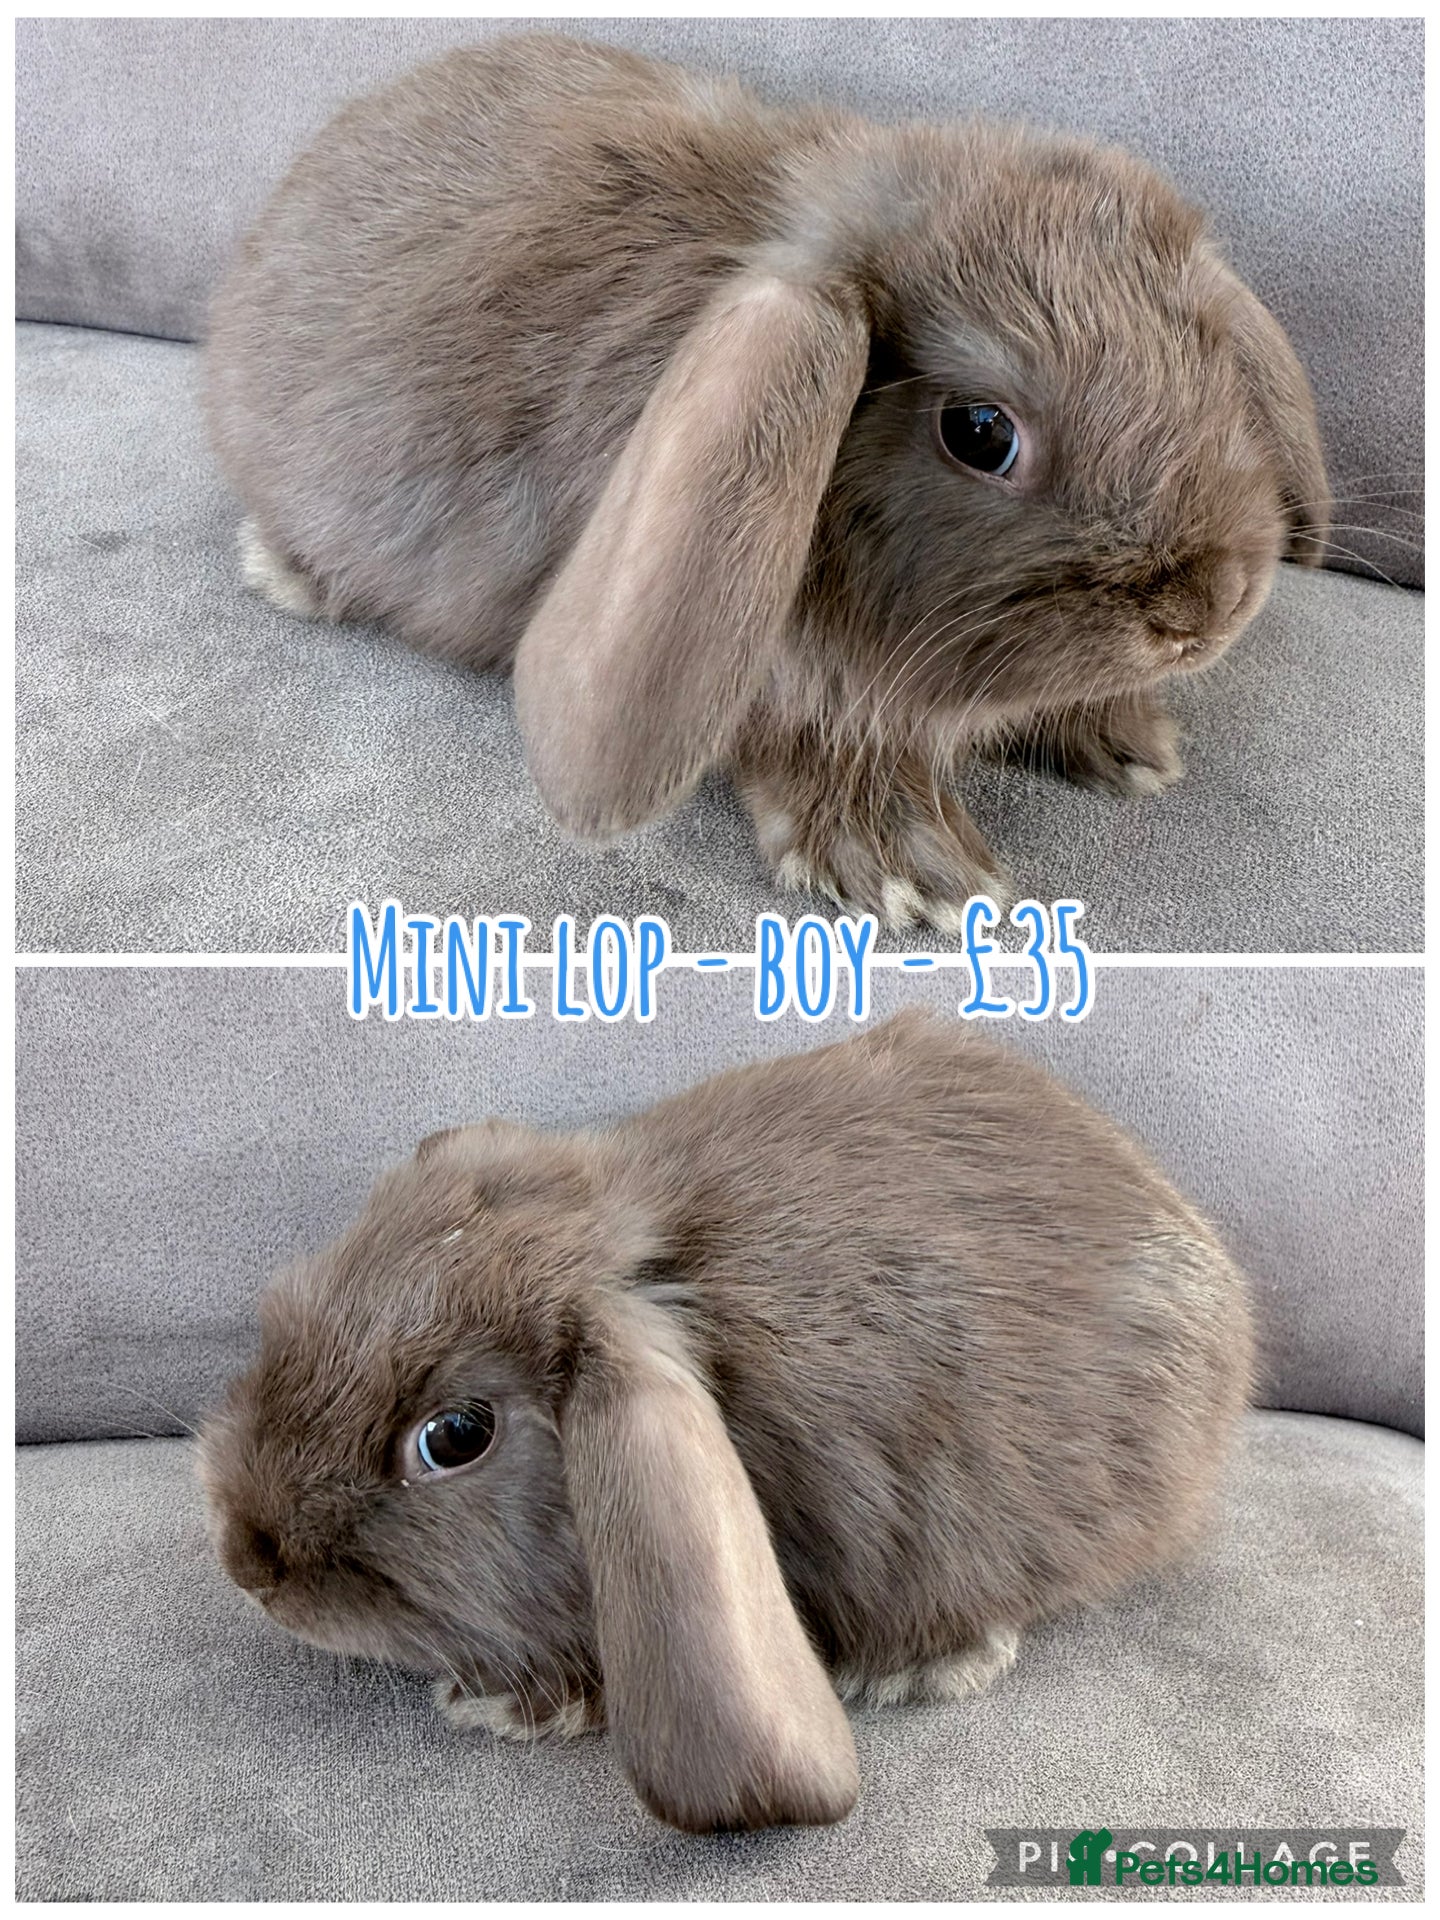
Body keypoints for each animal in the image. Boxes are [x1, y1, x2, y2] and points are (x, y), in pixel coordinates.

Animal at [205, 35, 1329, 932]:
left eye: (1212, 362)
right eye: (981, 432)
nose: (1205, 610)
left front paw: (1131, 741)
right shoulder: (789, 693)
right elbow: (818, 760)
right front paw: (916, 875)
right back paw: (287, 576)